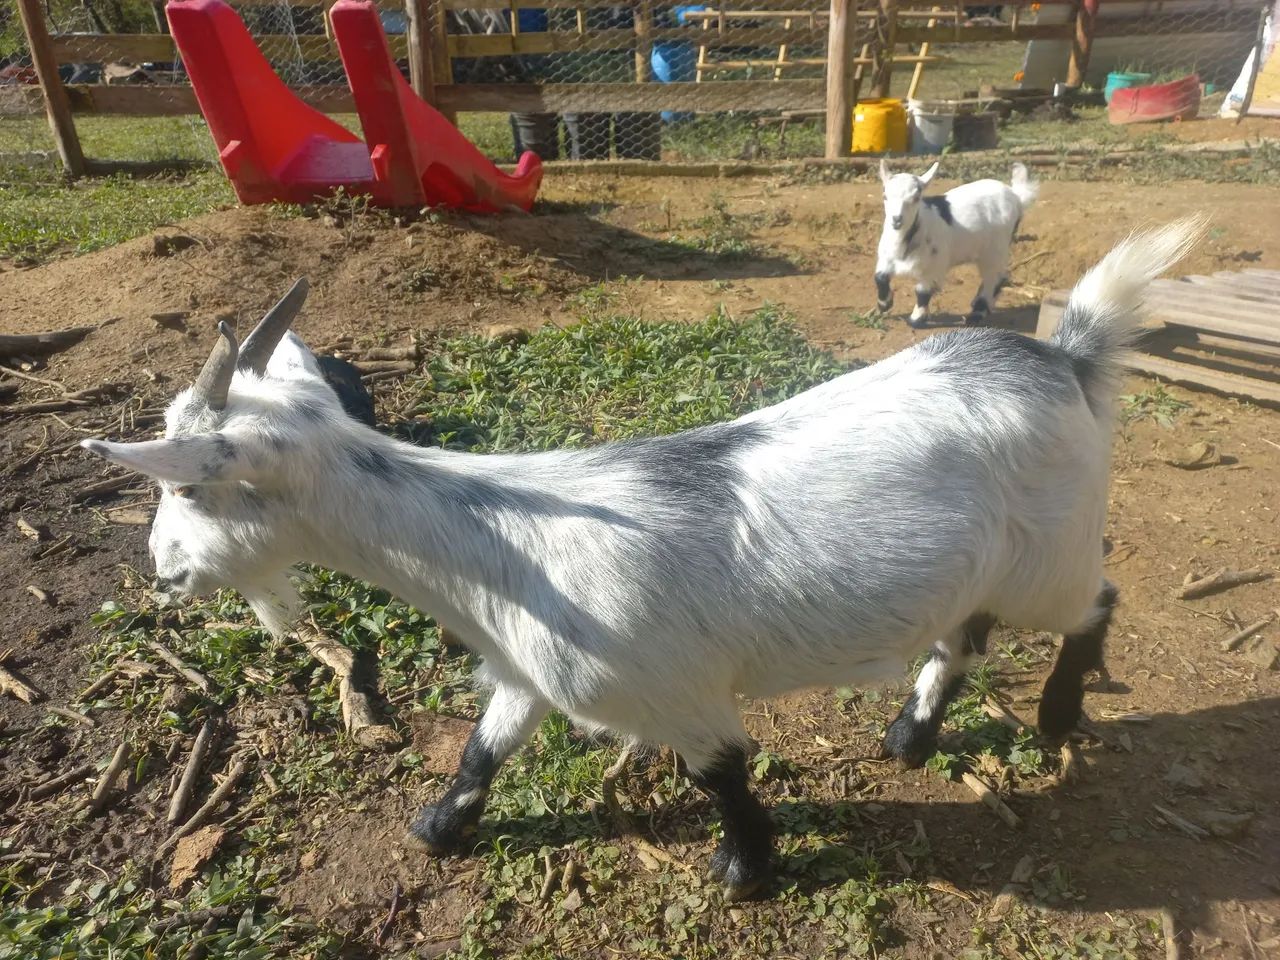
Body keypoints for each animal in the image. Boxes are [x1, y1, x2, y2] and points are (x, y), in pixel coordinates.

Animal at [82, 219, 1199, 901]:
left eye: (187, 488)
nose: (163, 573)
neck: (493, 549)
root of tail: (1066, 357)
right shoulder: (529, 669)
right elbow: (483, 750)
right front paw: (437, 829)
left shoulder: (677, 693)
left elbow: (723, 774)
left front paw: (743, 873)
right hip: (983, 560)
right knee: (961, 631)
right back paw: (910, 737)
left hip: (1053, 550)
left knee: (1095, 603)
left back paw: (1057, 713)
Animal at [874, 159, 1038, 329]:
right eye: (885, 196)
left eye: (916, 197)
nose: (896, 219)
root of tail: (1016, 197)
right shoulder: (885, 259)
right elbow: (879, 277)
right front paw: (884, 304)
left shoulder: (934, 266)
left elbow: (922, 292)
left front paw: (916, 319)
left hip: (996, 248)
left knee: (995, 277)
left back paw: (978, 312)